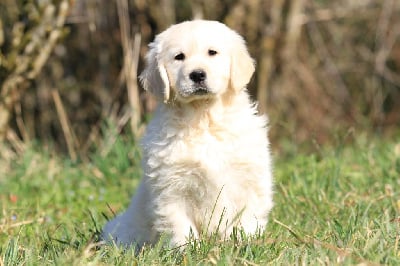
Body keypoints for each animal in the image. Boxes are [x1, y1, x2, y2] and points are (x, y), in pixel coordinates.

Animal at [101, 19, 274, 248]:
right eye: (179, 57)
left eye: (212, 52)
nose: (197, 74)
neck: (203, 118)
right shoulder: (170, 187)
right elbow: (180, 225)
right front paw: (188, 250)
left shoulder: (250, 178)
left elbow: (248, 218)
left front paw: (242, 243)